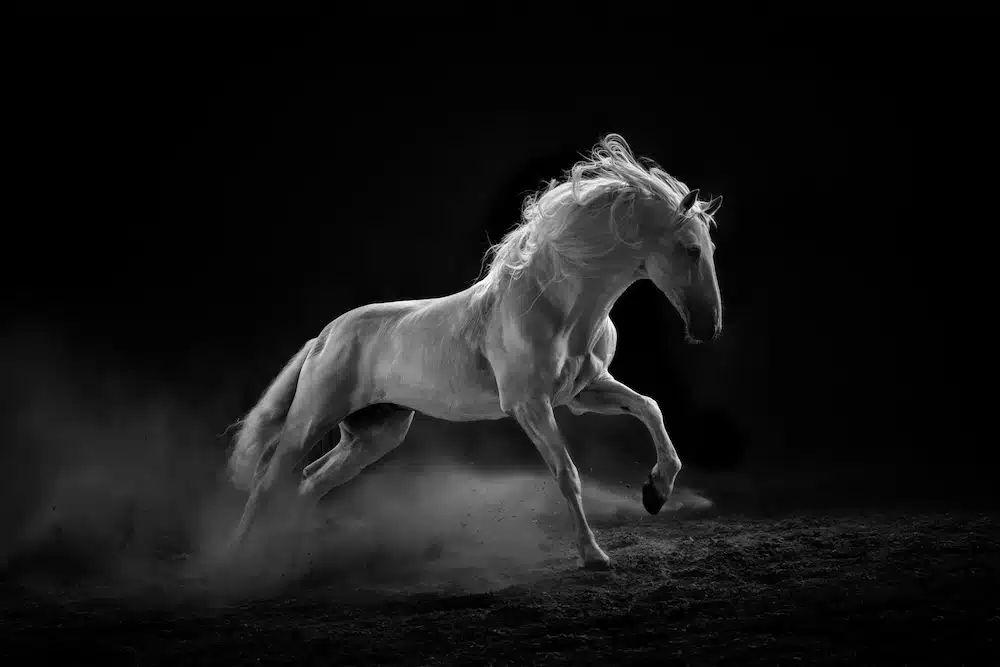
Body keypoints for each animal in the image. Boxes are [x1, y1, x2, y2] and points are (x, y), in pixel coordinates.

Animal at [229, 134, 724, 568]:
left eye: (709, 248)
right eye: (690, 249)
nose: (709, 328)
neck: (556, 305)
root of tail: (324, 336)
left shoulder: (586, 392)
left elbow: (650, 407)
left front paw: (656, 492)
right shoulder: (530, 405)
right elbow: (568, 473)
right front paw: (594, 556)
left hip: (374, 433)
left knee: (309, 482)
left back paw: (291, 554)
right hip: (311, 419)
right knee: (269, 481)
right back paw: (238, 562)